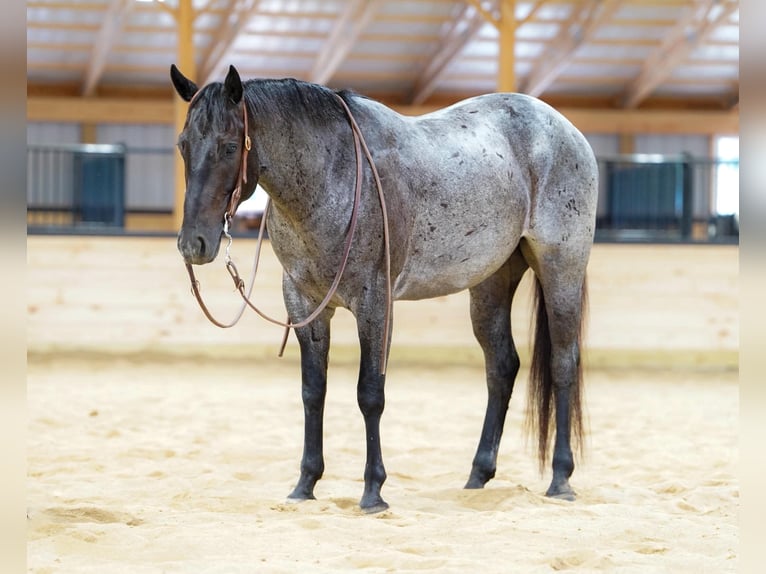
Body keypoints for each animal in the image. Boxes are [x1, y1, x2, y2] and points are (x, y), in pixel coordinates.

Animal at [171, 64, 598, 513]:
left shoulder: (374, 304)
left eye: (230, 145)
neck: (333, 174)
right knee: (501, 367)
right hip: (491, 282)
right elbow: (313, 392)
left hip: (561, 269)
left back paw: (561, 479)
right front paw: (305, 483)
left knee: (563, 363)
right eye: (183, 145)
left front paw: (373, 490)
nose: (193, 244)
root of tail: (565, 129)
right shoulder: (305, 304)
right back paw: (477, 476)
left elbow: (370, 393)